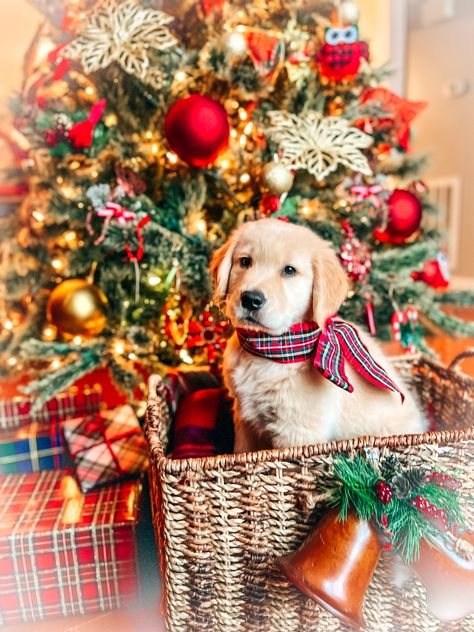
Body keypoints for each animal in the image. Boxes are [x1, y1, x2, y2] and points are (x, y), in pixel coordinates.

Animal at [211, 220, 426, 452]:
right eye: (245, 261)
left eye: (289, 270)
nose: (251, 299)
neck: (269, 347)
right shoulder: (245, 419)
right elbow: (240, 451)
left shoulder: (297, 432)